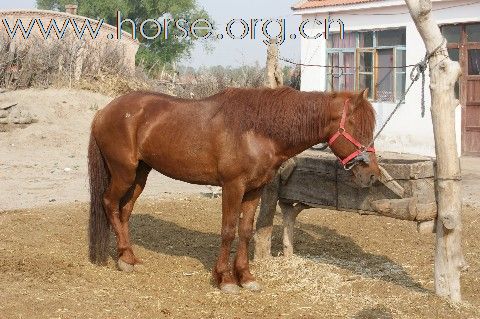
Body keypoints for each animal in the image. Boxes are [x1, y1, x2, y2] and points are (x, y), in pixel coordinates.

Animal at [86, 86, 378, 294]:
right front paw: (225, 279)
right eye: (355, 126)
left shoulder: (254, 190)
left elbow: (246, 231)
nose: (372, 174)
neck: (258, 130)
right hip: (123, 173)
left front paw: (246, 277)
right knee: (109, 203)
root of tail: (103, 111)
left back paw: (128, 258)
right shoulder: (232, 187)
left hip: (139, 175)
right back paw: (124, 257)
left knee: (124, 211)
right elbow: (228, 230)